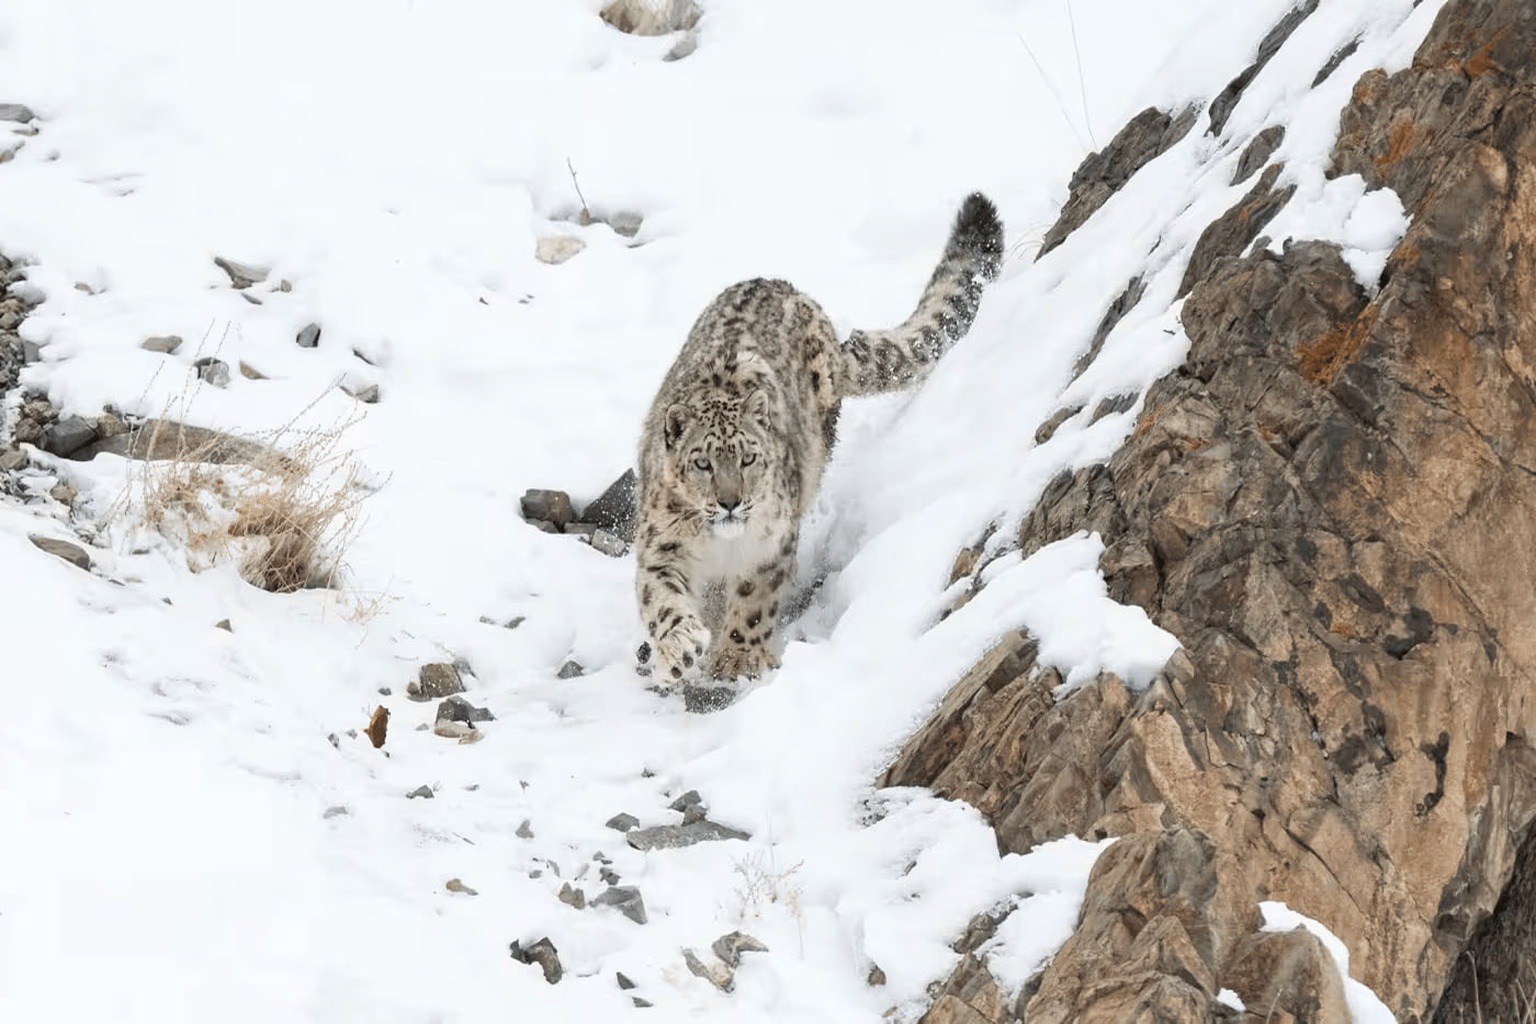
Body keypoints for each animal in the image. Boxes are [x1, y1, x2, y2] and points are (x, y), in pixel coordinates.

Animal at [633, 193, 1004, 687]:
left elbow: (754, 598)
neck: (721, 546)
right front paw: (679, 650)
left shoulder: (771, 542)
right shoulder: (661, 546)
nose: (730, 502)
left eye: (748, 459)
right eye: (703, 463)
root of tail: (786, 286)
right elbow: (662, 600)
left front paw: (738, 657)